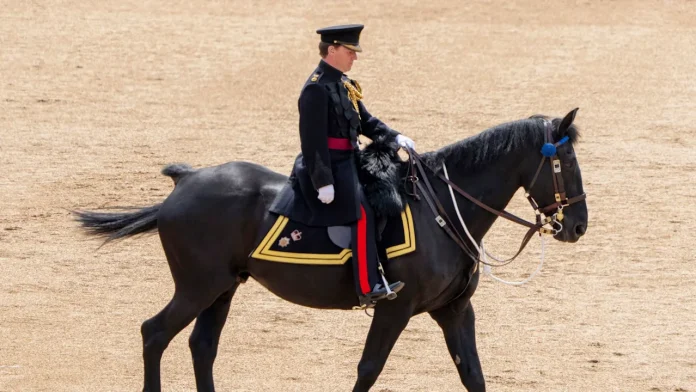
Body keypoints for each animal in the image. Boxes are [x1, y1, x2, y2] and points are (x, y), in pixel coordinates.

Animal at [76, 108, 588, 390]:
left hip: (222, 288)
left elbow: (473, 375)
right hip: (197, 287)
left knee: (202, 346)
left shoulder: (455, 309)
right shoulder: (394, 307)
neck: (443, 207)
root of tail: (186, 179)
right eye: (563, 159)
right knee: (154, 333)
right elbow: (369, 369)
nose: (579, 226)